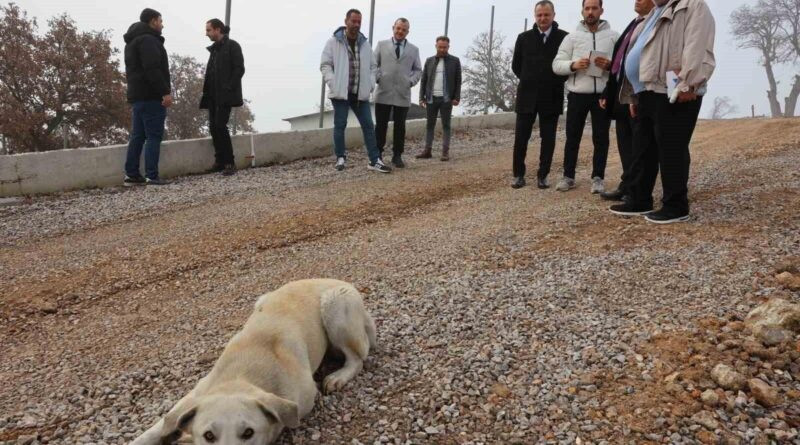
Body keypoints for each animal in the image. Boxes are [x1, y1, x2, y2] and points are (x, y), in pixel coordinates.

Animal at [132, 280, 378, 442]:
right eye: (209, 435)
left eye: (248, 433)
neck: (242, 374)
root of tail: (334, 280)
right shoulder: (195, 393)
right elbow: (160, 425)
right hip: (262, 298)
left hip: (336, 306)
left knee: (357, 358)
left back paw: (339, 376)